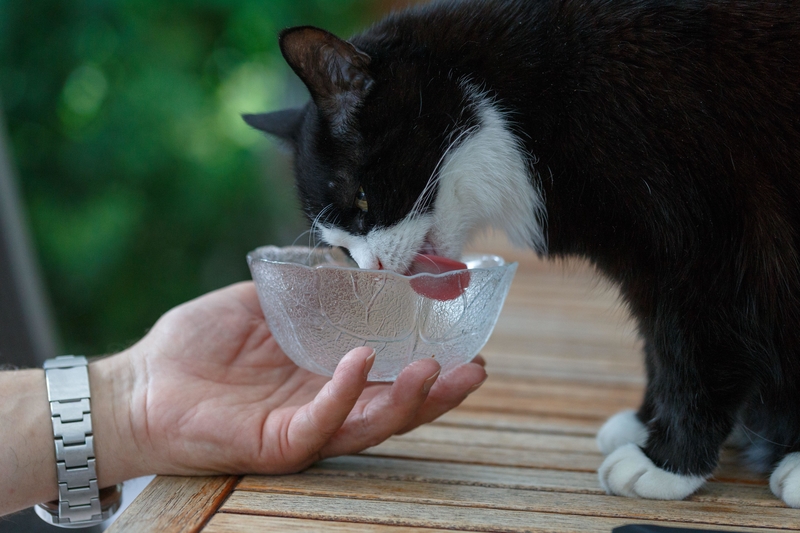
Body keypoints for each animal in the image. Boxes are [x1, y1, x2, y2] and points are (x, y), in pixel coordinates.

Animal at [242, 0, 800, 508]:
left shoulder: (702, 240)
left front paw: (667, 463)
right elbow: (658, 342)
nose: (373, 269)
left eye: (360, 198)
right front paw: (647, 424)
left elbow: (691, 344)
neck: (538, 94)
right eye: (338, 246)